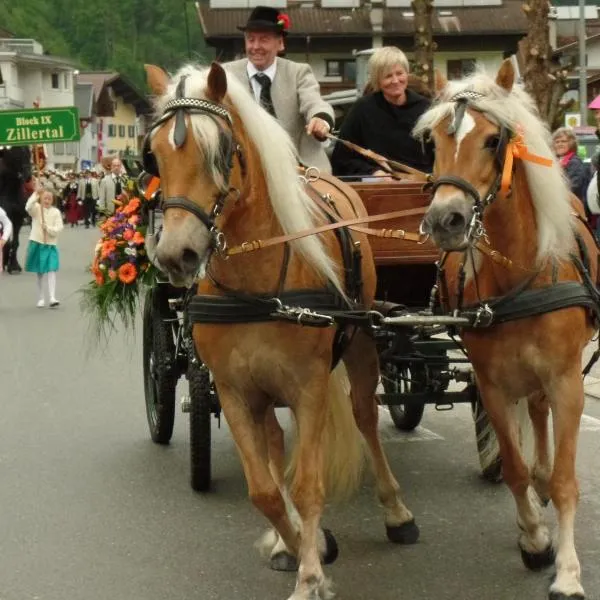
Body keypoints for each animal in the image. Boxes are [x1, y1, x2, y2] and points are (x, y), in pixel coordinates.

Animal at [144, 63, 418, 596]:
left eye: (220, 151)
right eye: (156, 154)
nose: (176, 255)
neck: (256, 282)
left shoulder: (309, 387)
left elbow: (308, 485)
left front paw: (311, 575)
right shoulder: (233, 391)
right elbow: (265, 491)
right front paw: (299, 544)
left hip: (361, 345)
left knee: (365, 416)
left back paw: (397, 511)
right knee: (272, 439)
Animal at [418, 57, 600, 600]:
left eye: (494, 139)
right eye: (432, 142)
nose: (446, 220)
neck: (521, 273)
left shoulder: (566, 382)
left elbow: (564, 479)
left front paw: (567, 572)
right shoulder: (492, 384)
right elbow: (515, 470)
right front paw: (535, 540)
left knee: (539, 414)